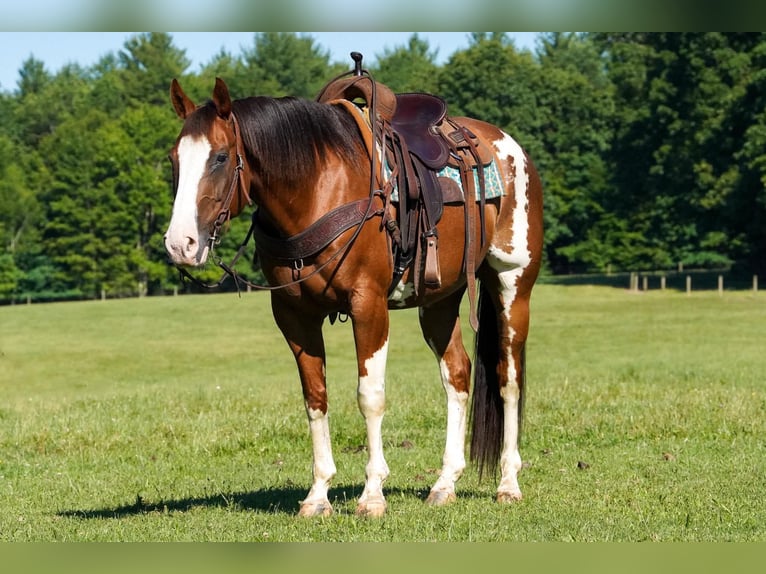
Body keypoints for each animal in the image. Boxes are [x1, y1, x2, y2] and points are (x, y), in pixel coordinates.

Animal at [163, 72, 543, 517]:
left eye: (221, 157)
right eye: (174, 159)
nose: (180, 244)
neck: (317, 187)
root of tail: (508, 146)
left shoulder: (368, 305)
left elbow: (370, 396)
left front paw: (372, 494)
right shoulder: (294, 315)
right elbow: (315, 398)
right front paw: (317, 496)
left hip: (513, 285)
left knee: (508, 378)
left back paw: (508, 483)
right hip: (439, 302)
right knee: (457, 374)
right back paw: (444, 484)